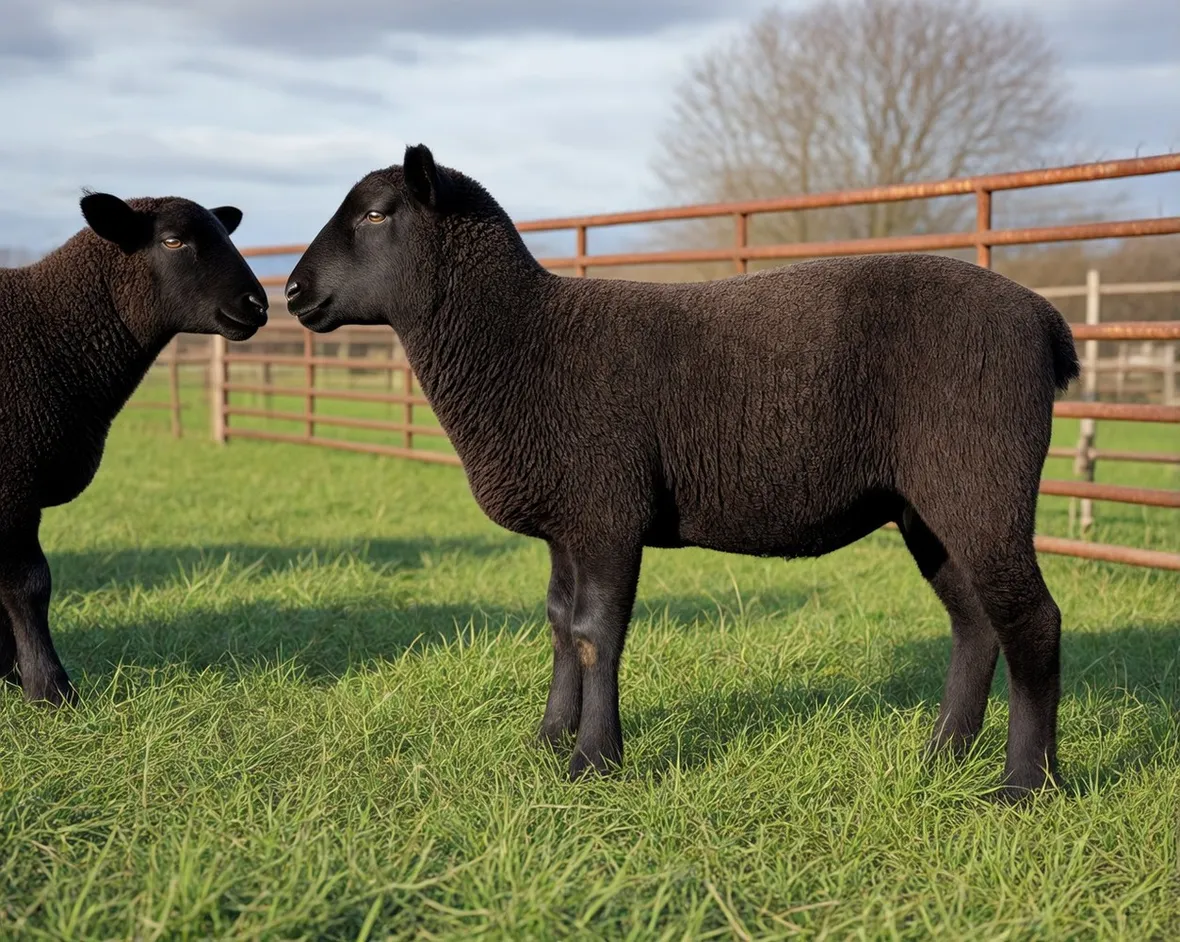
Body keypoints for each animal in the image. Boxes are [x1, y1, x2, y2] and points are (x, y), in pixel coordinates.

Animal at [0, 193, 268, 706]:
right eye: (173, 241)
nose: (258, 305)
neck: (52, 336)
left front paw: (9, 676)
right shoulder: (11, 483)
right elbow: (29, 585)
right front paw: (49, 690)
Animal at [286, 145, 1080, 799]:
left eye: (378, 213)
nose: (291, 293)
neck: (524, 339)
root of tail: (1045, 320)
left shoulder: (607, 510)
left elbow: (596, 632)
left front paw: (594, 762)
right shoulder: (568, 521)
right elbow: (558, 623)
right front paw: (547, 740)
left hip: (982, 480)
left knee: (1031, 620)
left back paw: (1024, 785)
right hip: (929, 505)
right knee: (975, 622)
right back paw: (942, 756)